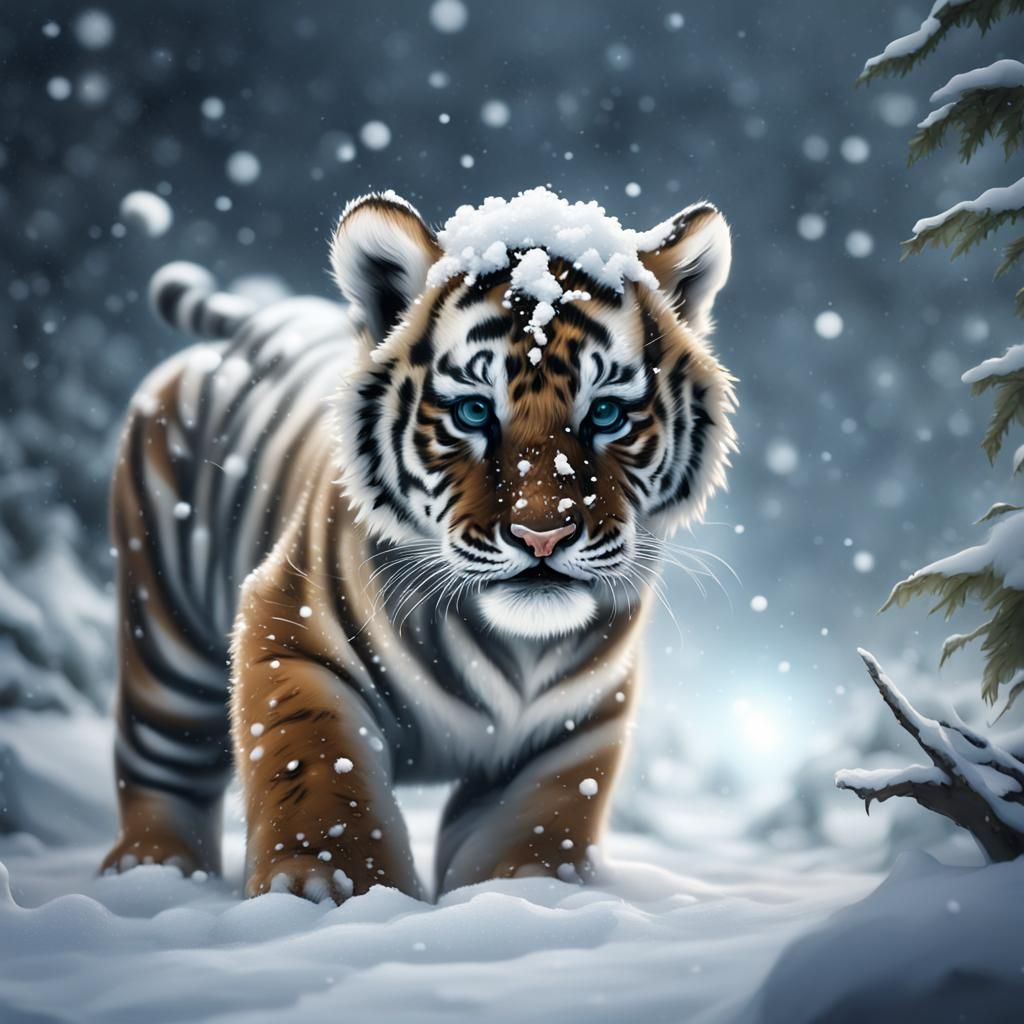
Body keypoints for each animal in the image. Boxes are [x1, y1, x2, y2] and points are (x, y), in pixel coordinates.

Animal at [101, 188, 737, 903]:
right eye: (473, 412)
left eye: (605, 414)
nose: (542, 533)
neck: (514, 647)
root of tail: (258, 321)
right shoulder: (288, 630)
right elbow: (316, 766)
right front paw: (324, 887)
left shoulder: (573, 724)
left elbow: (538, 819)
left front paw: (528, 895)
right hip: (165, 647)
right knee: (161, 769)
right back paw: (153, 876)